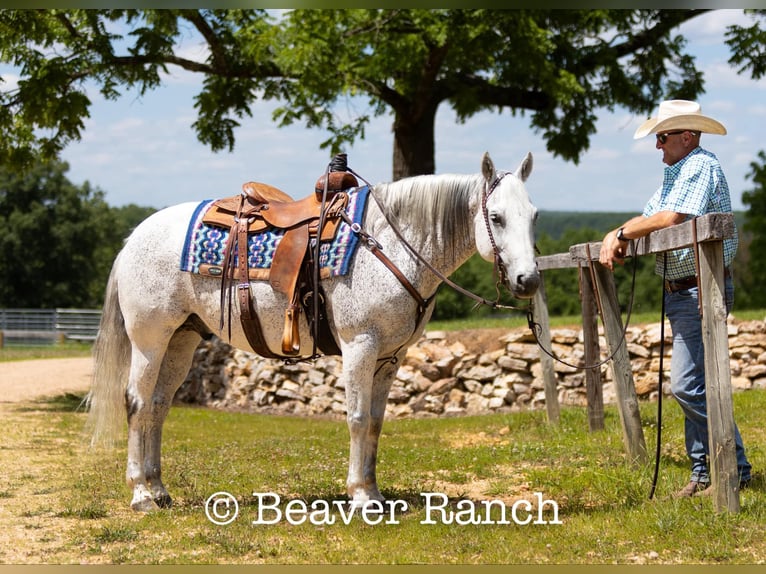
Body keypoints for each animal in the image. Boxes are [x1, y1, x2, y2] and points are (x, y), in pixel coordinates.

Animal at [86, 151, 540, 512]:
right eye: (496, 217)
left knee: (158, 406)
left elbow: (376, 422)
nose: (528, 280)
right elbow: (357, 417)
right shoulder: (361, 347)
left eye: (535, 216)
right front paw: (360, 497)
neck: (391, 247)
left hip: (181, 338)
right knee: (137, 403)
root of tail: (132, 239)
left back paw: (159, 489)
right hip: (149, 339)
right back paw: (141, 495)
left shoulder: (391, 357)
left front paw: (374, 492)